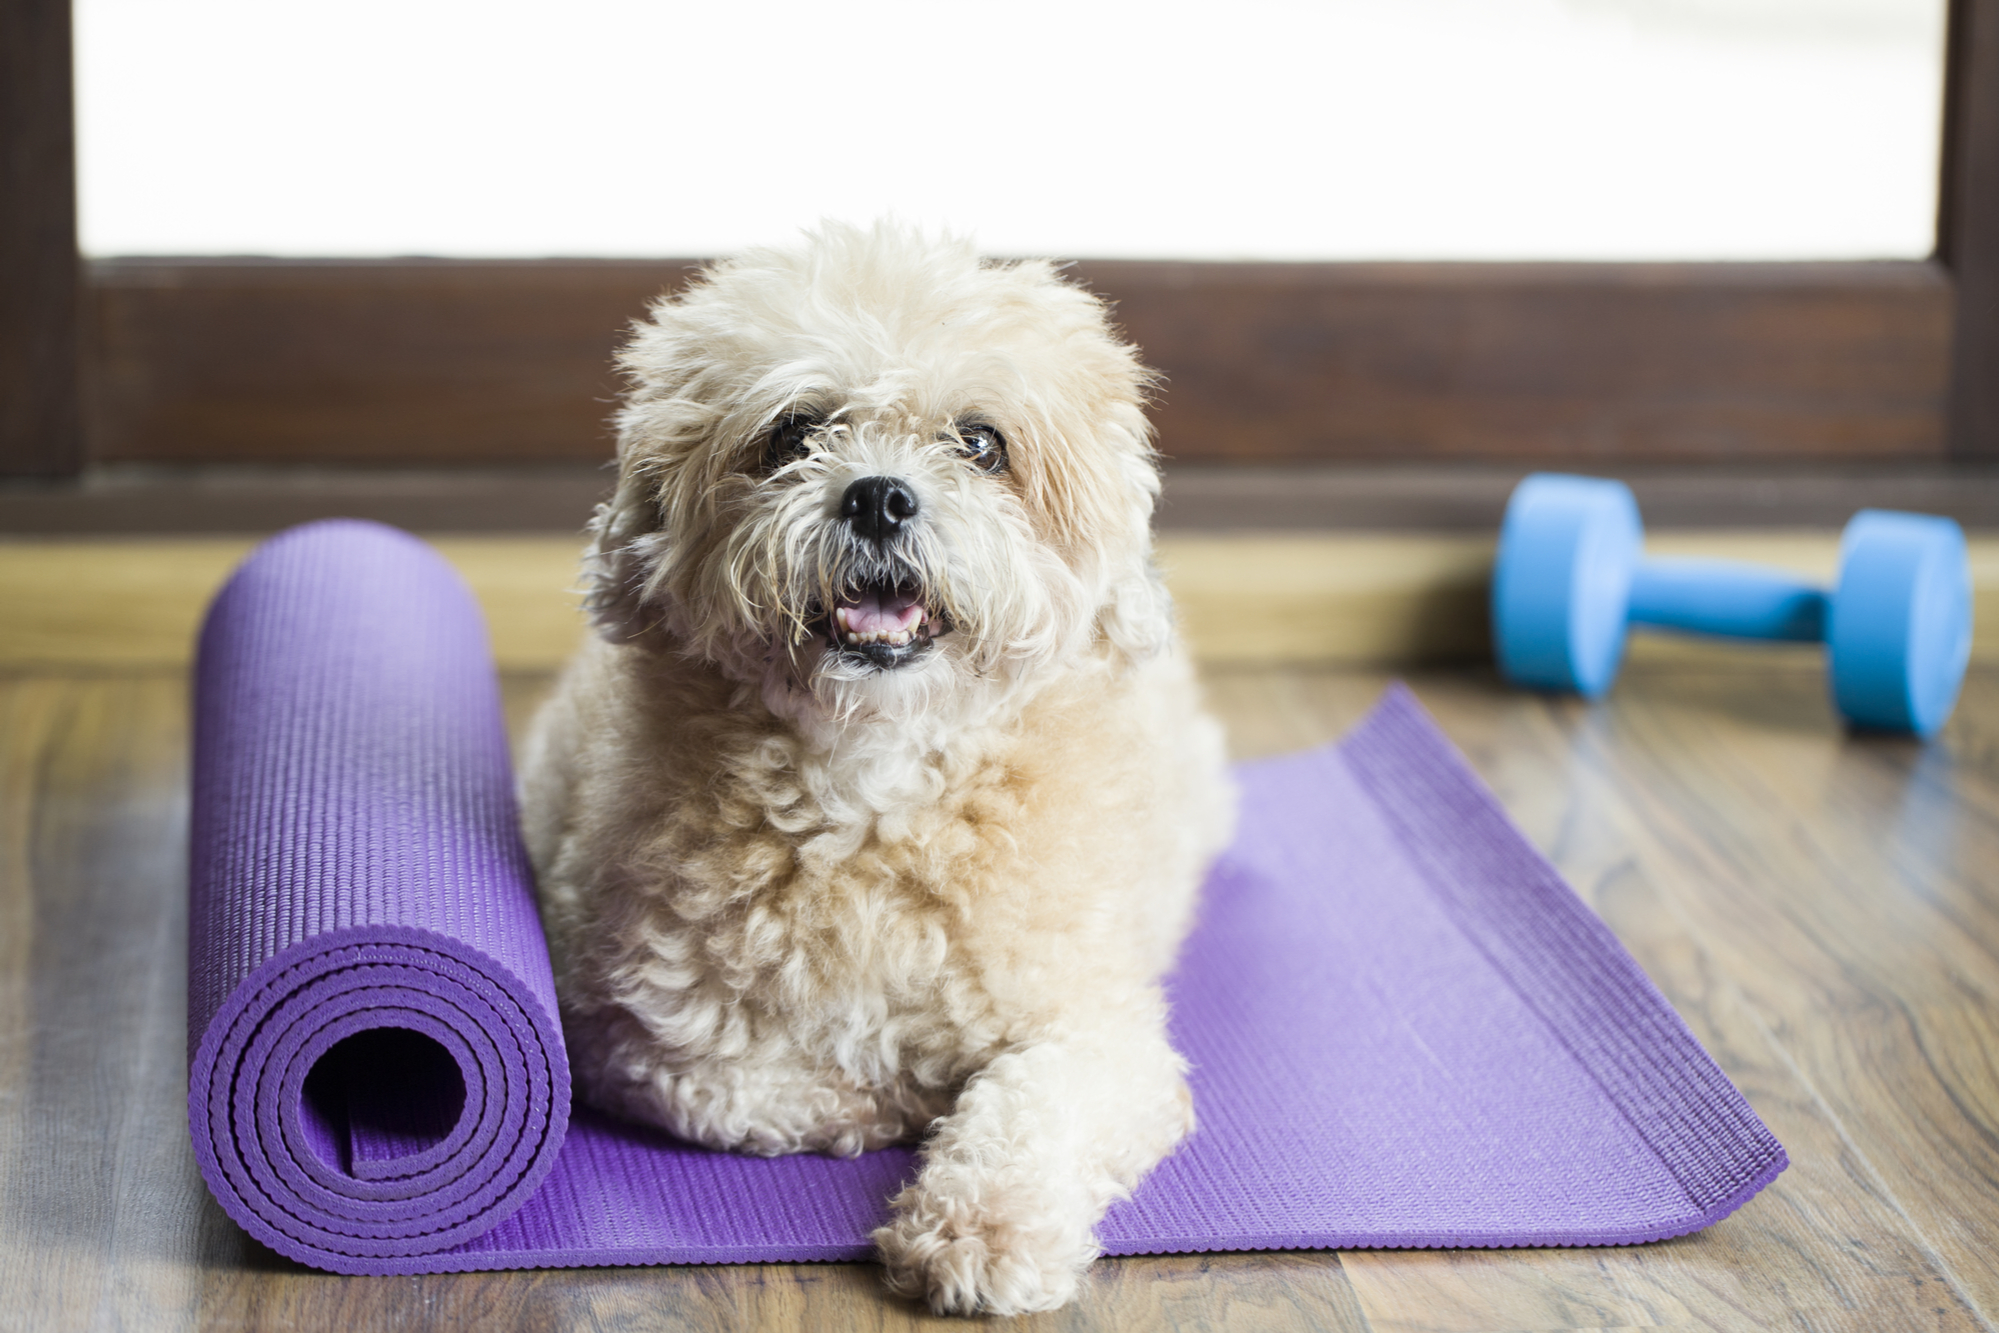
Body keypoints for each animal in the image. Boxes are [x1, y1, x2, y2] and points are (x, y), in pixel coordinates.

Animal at [520, 220, 1232, 1304]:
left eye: (979, 443)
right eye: (792, 434)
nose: (879, 497)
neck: (875, 784)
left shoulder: (1099, 1028)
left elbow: (1035, 1111)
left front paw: (980, 1228)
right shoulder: (628, 1029)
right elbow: (741, 1088)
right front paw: (885, 1099)